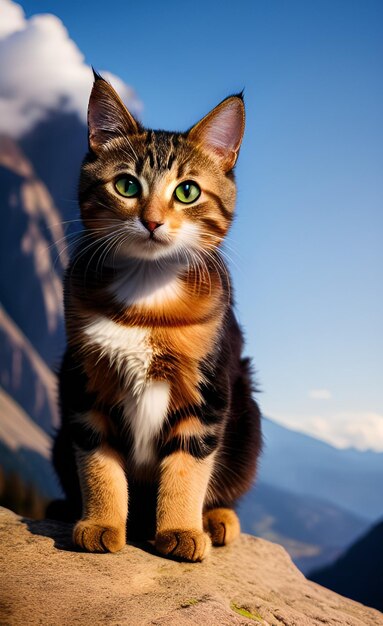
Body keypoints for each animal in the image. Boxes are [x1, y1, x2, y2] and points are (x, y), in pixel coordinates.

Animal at [49, 73, 262, 560]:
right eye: (126, 186)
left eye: (187, 191)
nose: (151, 221)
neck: (148, 293)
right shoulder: (83, 379)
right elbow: (98, 459)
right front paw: (102, 521)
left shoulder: (208, 389)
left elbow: (188, 465)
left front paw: (181, 528)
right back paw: (65, 506)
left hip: (248, 415)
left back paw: (216, 519)